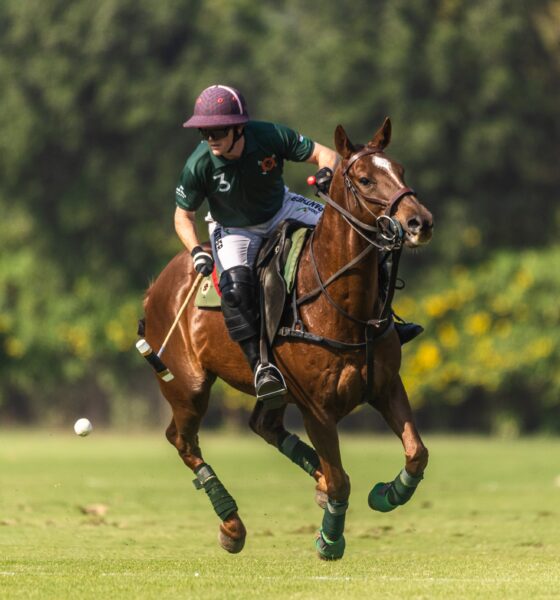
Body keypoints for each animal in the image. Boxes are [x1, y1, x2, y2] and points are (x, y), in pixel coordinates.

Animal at [141, 117, 433, 560]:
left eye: (400, 169)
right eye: (365, 179)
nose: (421, 222)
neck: (339, 301)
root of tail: (156, 285)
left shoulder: (386, 385)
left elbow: (417, 452)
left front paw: (387, 494)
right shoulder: (317, 409)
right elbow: (343, 479)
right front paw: (329, 539)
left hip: (273, 393)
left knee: (263, 424)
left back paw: (315, 484)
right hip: (188, 386)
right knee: (183, 440)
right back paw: (232, 524)